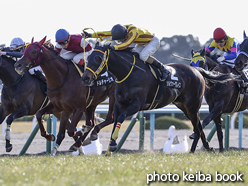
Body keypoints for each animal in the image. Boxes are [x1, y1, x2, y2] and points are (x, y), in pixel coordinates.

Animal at [81, 42, 238, 153]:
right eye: (88, 57)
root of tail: (197, 70)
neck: (129, 73)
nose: (85, 78)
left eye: (98, 58)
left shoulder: (136, 105)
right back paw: (206, 148)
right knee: (198, 126)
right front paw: (105, 143)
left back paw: (196, 149)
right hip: (184, 106)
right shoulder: (119, 104)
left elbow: (119, 118)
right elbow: (115, 122)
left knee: (198, 126)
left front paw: (112, 145)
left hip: (193, 105)